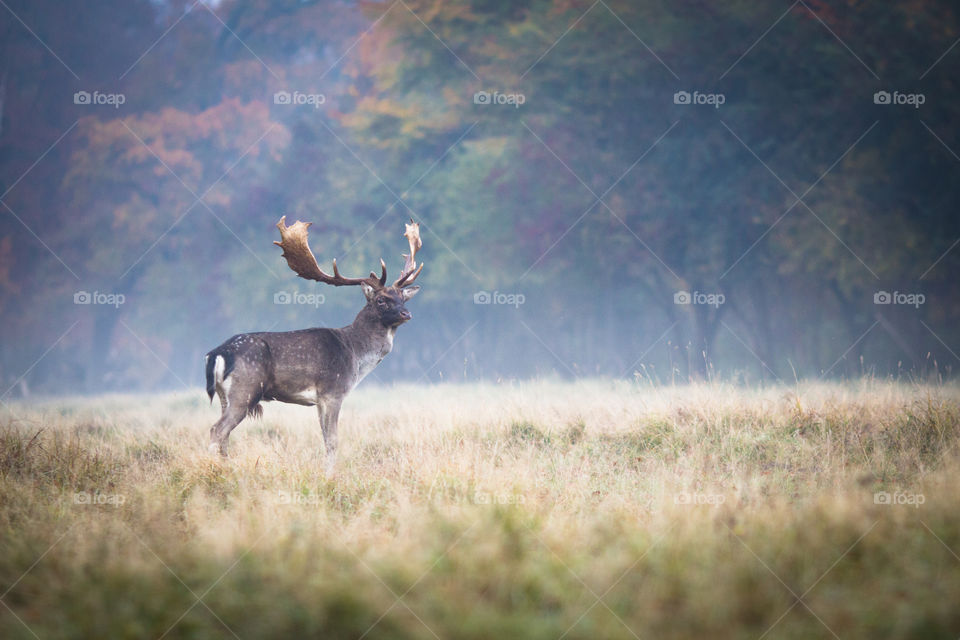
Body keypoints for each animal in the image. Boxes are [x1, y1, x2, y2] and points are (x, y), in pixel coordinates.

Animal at [204, 216, 422, 470]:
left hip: (224, 395)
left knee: (224, 436)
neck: (356, 354)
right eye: (381, 300)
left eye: (402, 298)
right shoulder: (333, 392)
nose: (407, 314)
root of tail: (217, 353)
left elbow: (325, 438)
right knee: (217, 430)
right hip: (245, 389)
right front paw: (330, 474)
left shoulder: (319, 400)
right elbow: (333, 441)